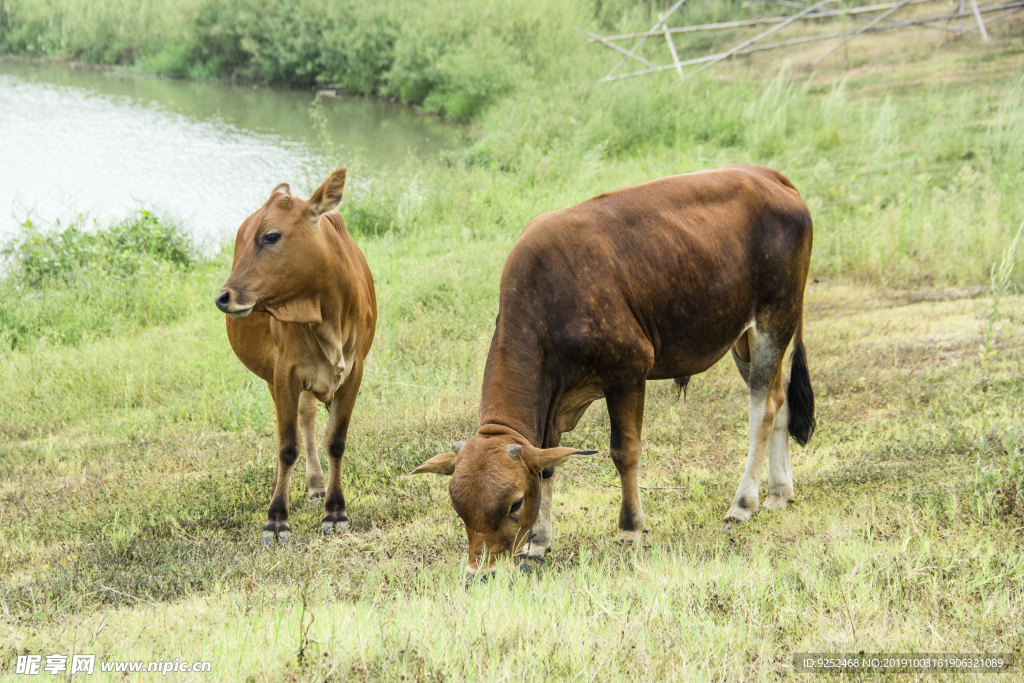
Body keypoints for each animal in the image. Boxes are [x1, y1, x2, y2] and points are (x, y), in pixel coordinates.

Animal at [215, 166, 376, 544]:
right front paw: (277, 518)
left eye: (271, 236)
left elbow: (336, 441)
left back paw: (316, 486)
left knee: (307, 418)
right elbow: (287, 446)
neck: (326, 316)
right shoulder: (284, 372)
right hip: (272, 375)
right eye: (248, 239)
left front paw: (335, 510)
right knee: (292, 426)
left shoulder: (354, 372)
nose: (224, 297)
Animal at [409, 165, 815, 577]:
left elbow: (624, 451)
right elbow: (547, 465)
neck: (548, 302)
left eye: (515, 504)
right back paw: (779, 493)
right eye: (460, 510)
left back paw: (743, 503)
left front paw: (630, 527)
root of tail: (768, 175)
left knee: (761, 411)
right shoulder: (552, 402)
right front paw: (537, 543)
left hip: (775, 319)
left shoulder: (628, 371)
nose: (480, 572)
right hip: (743, 338)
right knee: (779, 400)